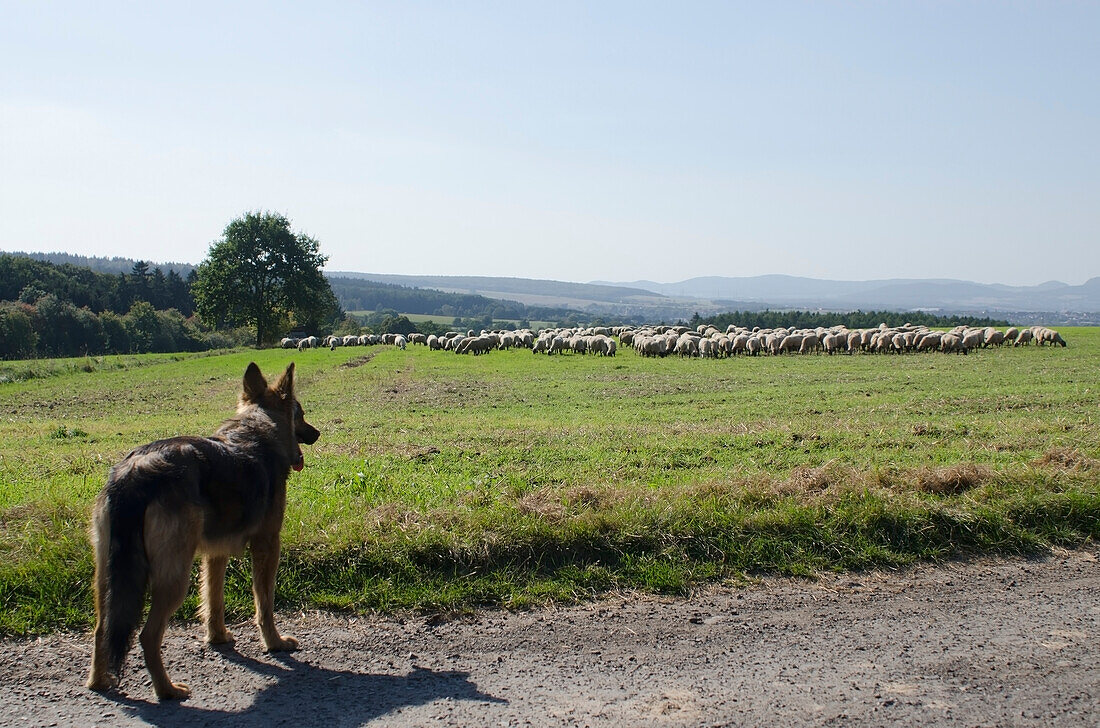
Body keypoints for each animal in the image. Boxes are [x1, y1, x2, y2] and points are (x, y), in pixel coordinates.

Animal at [86, 362, 321, 703]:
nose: (317, 433)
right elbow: (264, 602)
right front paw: (275, 643)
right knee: (147, 635)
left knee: (102, 630)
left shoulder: (215, 554)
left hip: (108, 575)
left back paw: (99, 682)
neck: (258, 429)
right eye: (300, 414)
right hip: (173, 577)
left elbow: (213, 600)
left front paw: (218, 637)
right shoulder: (267, 545)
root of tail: (134, 473)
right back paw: (167, 690)